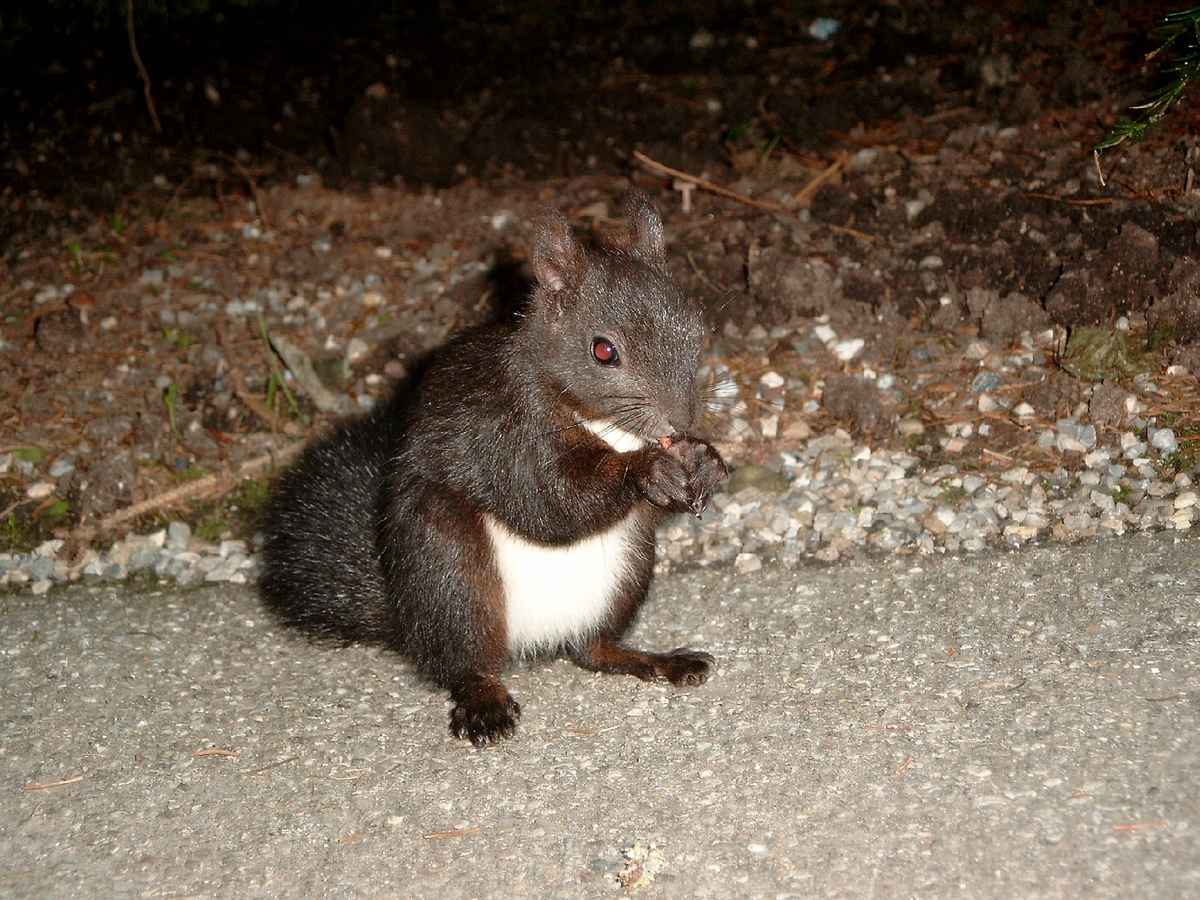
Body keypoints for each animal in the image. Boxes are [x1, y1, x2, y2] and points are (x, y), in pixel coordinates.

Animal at [259, 191, 728, 745]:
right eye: (603, 350)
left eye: (698, 329)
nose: (682, 418)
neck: (605, 424)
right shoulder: (499, 435)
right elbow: (548, 500)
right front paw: (648, 470)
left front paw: (708, 461)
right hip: (449, 570)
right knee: (467, 661)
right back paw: (484, 703)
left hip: (629, 571)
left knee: (590, 651)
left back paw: (657, 661)